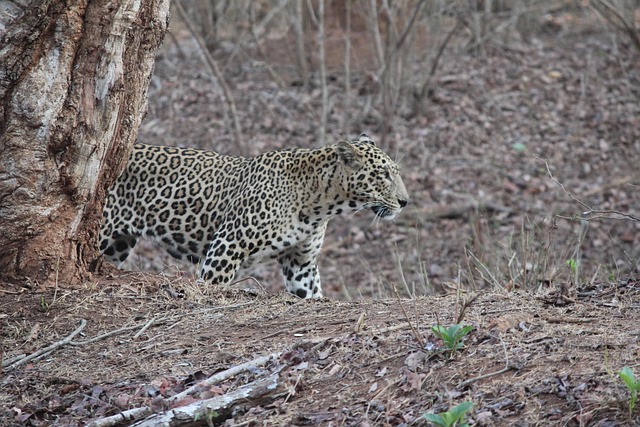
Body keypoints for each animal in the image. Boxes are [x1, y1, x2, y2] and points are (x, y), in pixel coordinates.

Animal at [99, 134, 409, 299]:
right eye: (383, 174)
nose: (405, 201)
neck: (320, 204)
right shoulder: (226, 248)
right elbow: (210, 285)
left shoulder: (301, 263)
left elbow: (311, 293)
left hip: (118, 245)